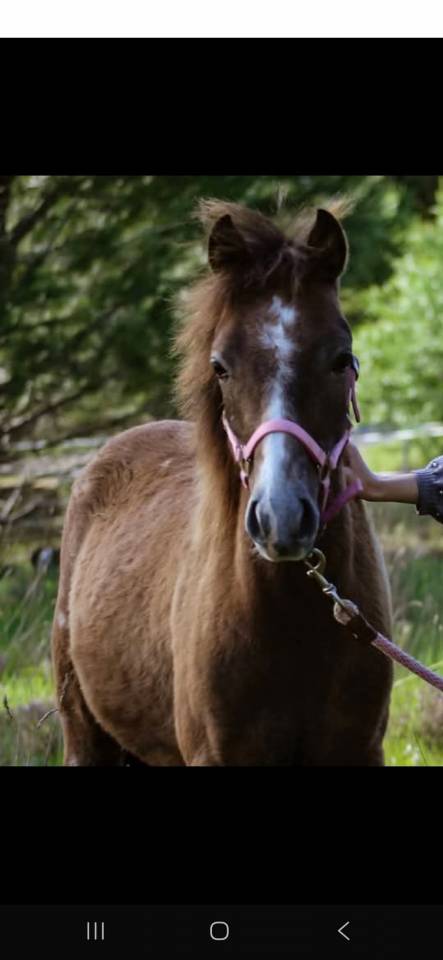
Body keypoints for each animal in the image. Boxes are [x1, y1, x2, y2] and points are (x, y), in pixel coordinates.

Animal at [51, 198, 393, 766]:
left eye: (341, 358)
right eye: (221, 366)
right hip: (85, 736)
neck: (295, 630)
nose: (281, 518)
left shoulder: (359, 751)